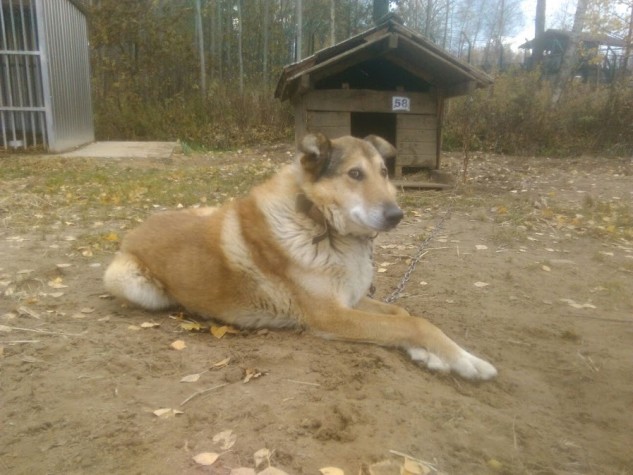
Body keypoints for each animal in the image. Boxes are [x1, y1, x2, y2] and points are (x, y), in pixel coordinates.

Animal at [104, 134, 497, 380]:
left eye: (384, 173)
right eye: (355, 174)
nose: (396, 215)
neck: (322, 224)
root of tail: (134, 230)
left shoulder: (350, 300)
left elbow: (403, 315)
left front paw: (427, 355)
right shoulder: (332, 316)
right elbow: (414, 324)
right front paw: (467, 361)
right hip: (136, 285)